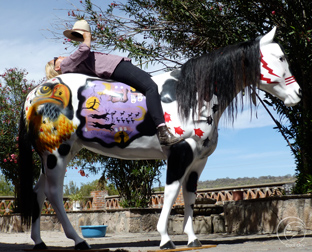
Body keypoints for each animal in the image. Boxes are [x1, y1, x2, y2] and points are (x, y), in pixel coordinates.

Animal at [18, 27, 300, 250]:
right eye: (281, 57)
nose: (297, 93)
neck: (191, 96)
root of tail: (36, 93)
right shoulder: (180, 153)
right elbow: (171, 192)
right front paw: (165, 238)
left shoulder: (198, 162)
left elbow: (189, 196)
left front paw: (192, 239)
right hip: (57, 153)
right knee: (54, 193)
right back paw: (79, 241)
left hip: (54, 154)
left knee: (38, 193)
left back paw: (39, 242)